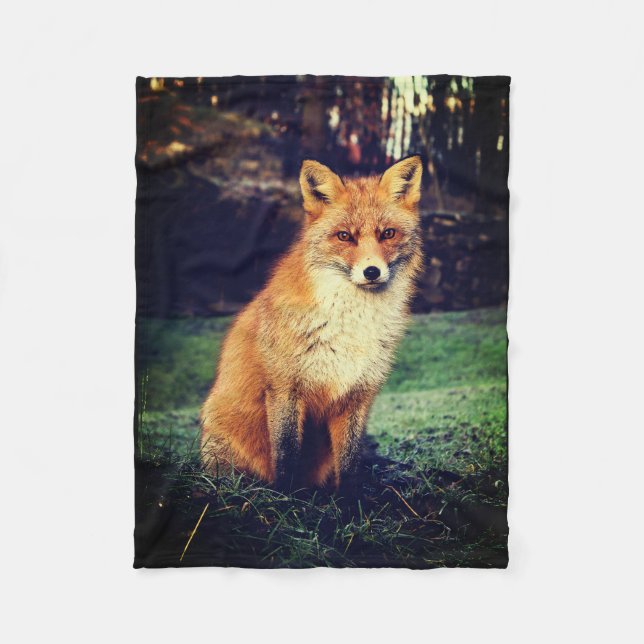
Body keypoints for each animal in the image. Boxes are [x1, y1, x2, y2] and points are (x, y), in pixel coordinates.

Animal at [200, 155, 423, 491]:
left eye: (388, 234)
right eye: (344, 236)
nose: (372, 272)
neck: (350, 325)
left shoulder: (358, 394)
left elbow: (350, 462)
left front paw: (352, 498)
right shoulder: (284, 388)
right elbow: (286, 454)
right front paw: (288, 497)